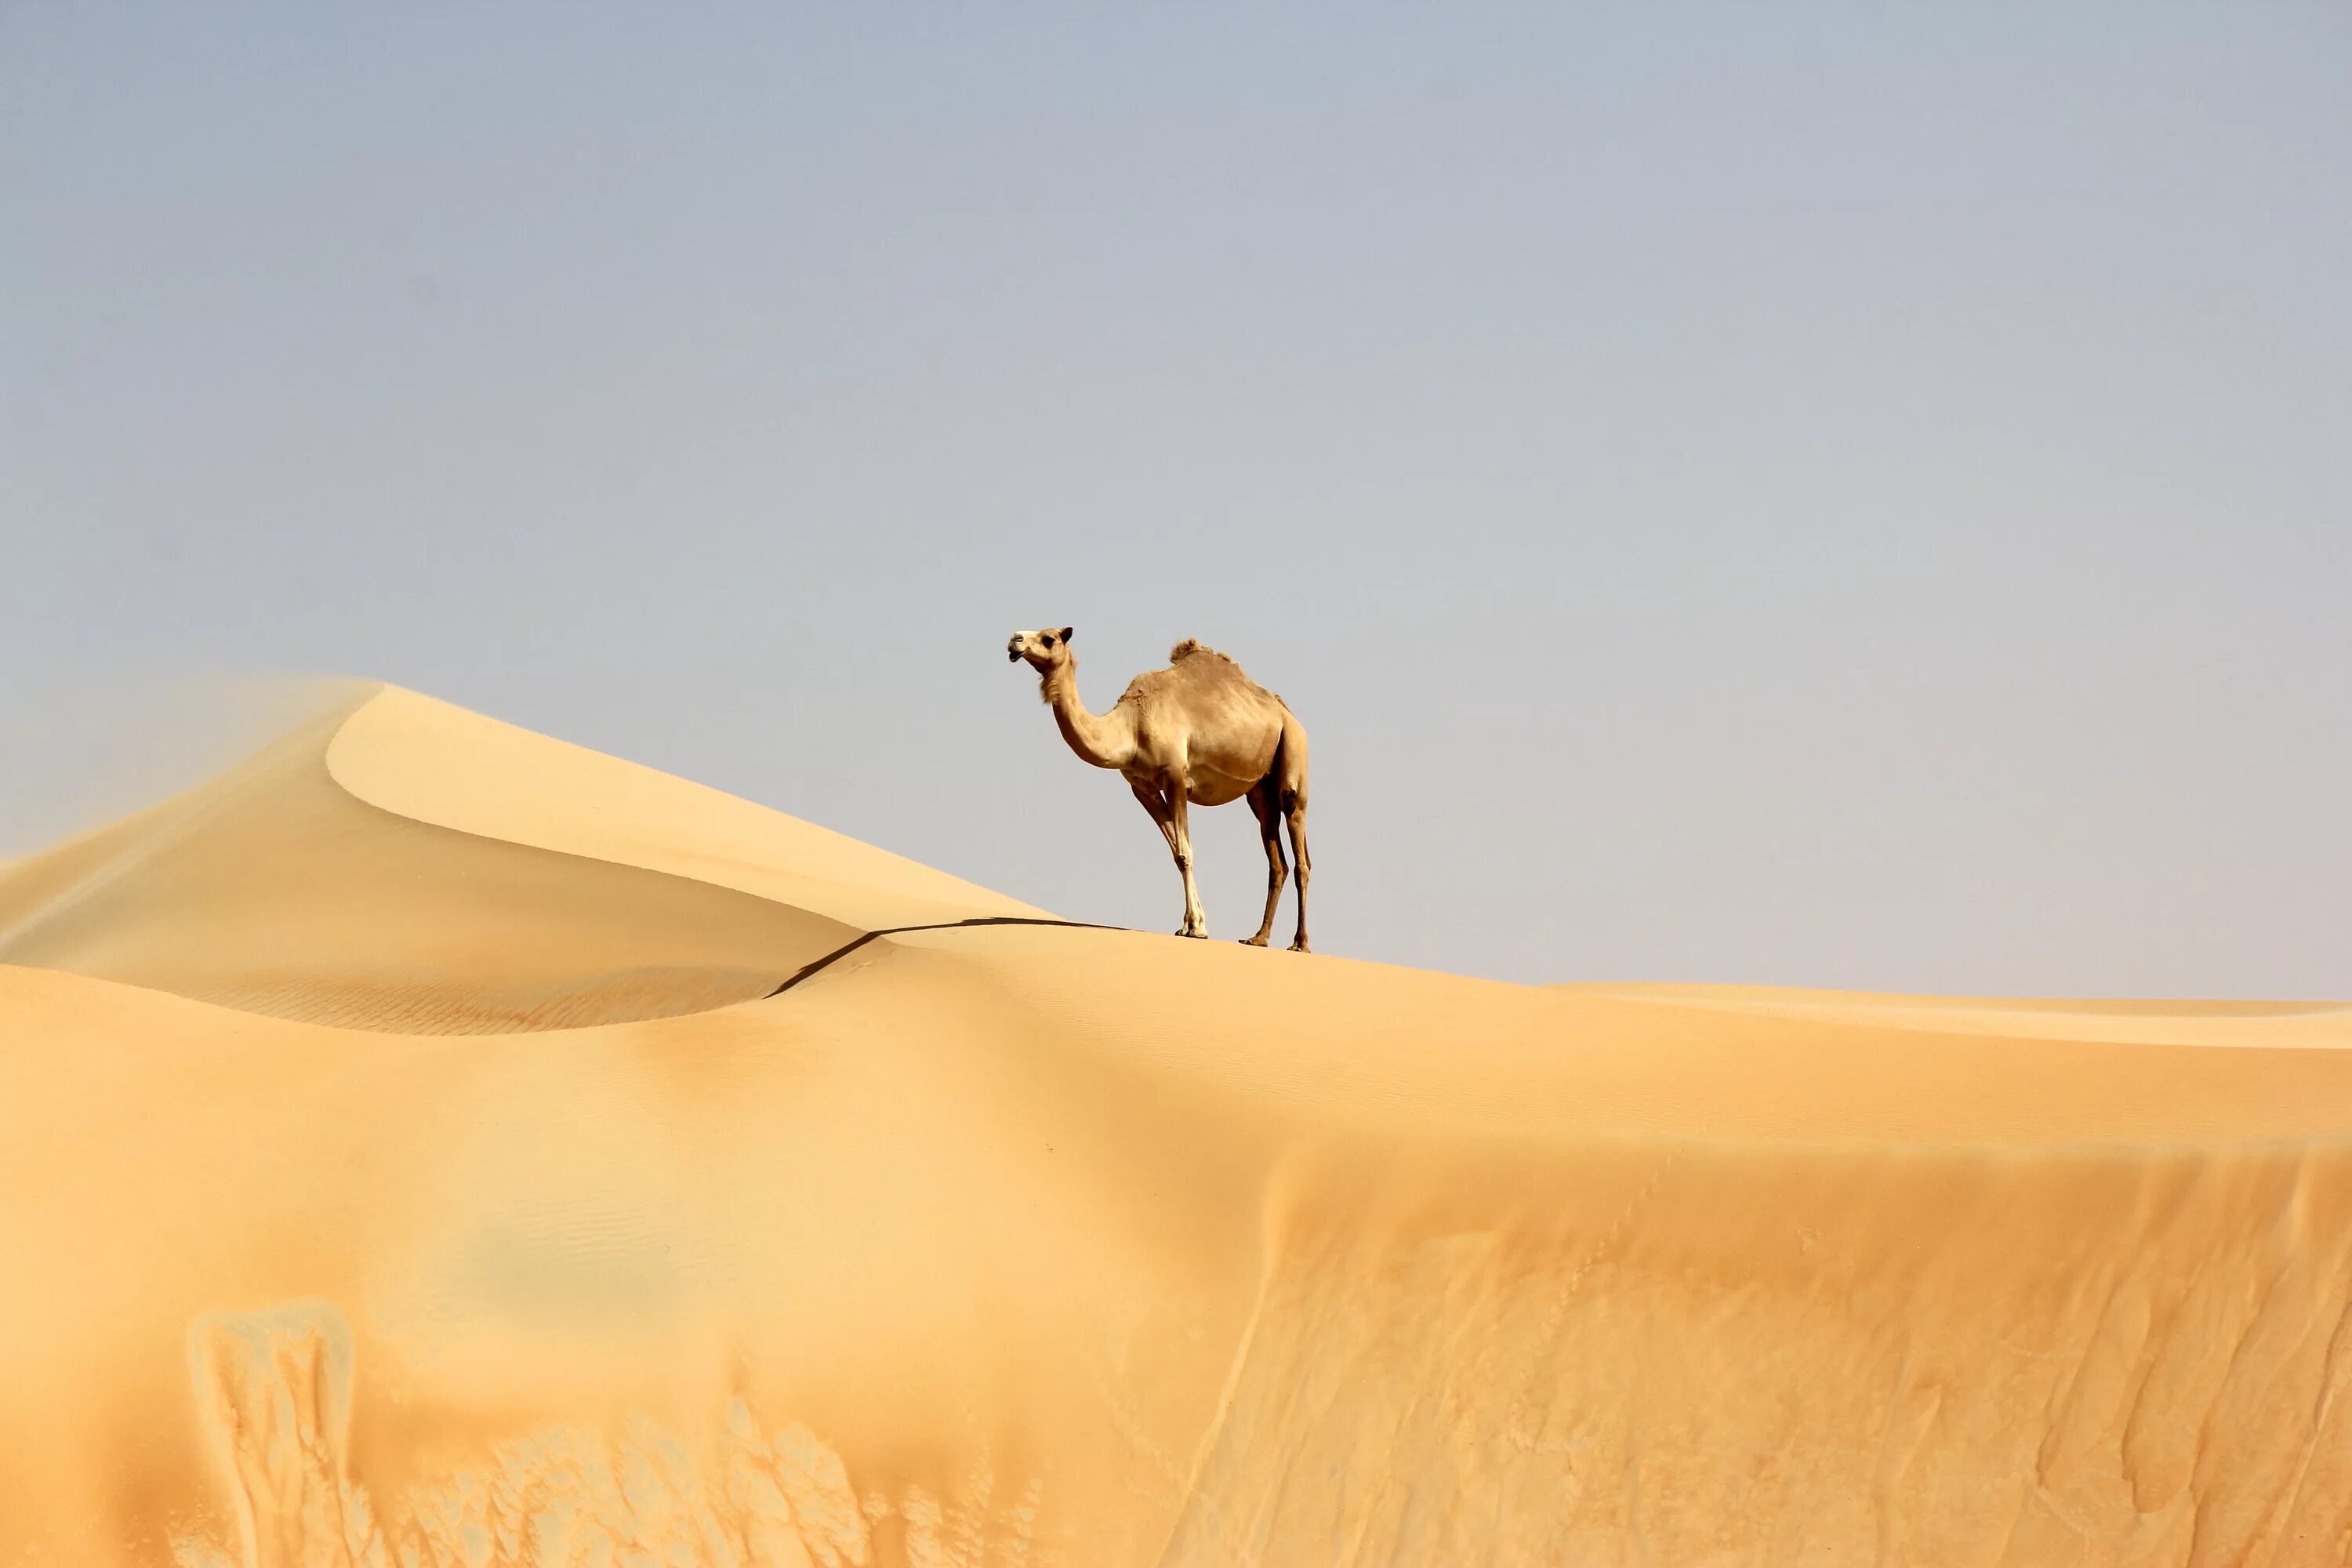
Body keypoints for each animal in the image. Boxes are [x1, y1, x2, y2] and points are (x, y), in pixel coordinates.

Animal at [1007, 630, 1317, 949]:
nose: (1015, 640)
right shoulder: (1143, 788)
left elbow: (1185, 851)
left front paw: (1197, 928)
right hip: (1259, 790)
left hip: (1294, 751)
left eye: (1049, 638)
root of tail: (1288, 713)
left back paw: (1300, 943)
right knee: (1276, 856)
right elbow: (1177, 853)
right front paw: (1190, 924)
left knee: (1300, 850)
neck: (1130, 726)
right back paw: (1258, 937)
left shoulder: (1176, 776)